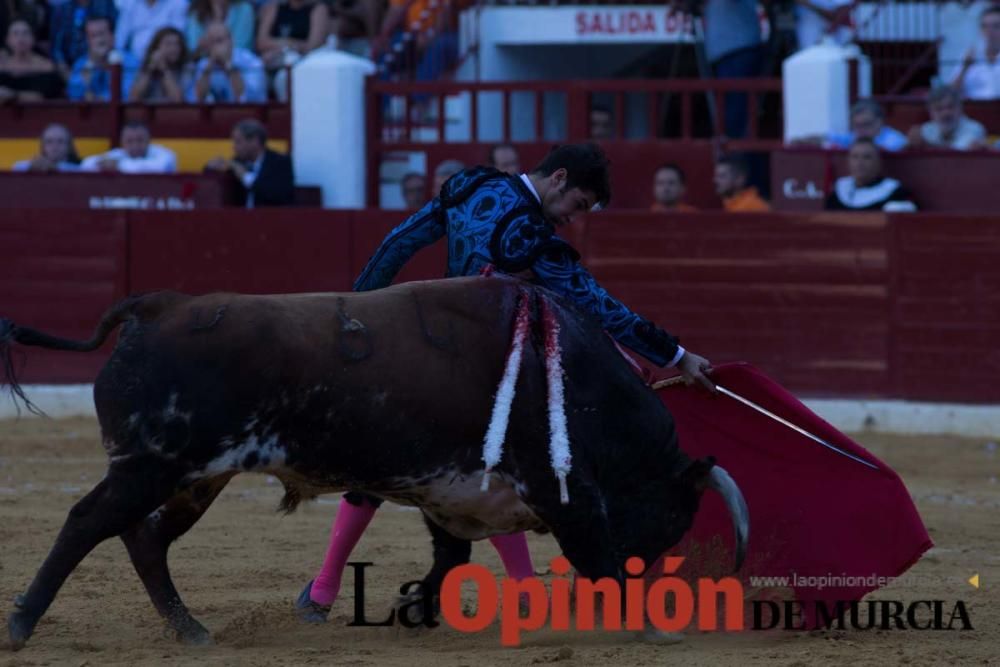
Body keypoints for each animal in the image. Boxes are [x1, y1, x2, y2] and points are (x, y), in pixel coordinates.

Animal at [1, 276, 752, 652]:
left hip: (193, 475)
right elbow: (596, 558)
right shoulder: (563, 494)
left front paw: (412, 610)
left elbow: (451, 557)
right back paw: (22, 624)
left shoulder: (454, 490)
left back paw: (190, 629)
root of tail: (155, 308)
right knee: (87, 523)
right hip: (149, 466)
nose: (658, 570)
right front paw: (653, 625)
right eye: (670, 519)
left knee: (145, 537)